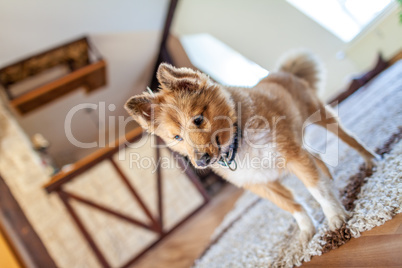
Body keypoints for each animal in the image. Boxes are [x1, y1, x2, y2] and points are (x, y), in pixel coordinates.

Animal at [125, 51, 376, 242]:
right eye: (177, 137)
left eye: (197, 120)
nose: (201, 161)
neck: (239, 143)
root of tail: (281, 72)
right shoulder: (259, 183)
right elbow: (291, 205)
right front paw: (306, 230)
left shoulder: (293, 157)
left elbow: (317, 189)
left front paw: (334, 216)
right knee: (318, 159)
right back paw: (332, 179)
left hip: (322, 116)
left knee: (351, 140)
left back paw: (371, 161)